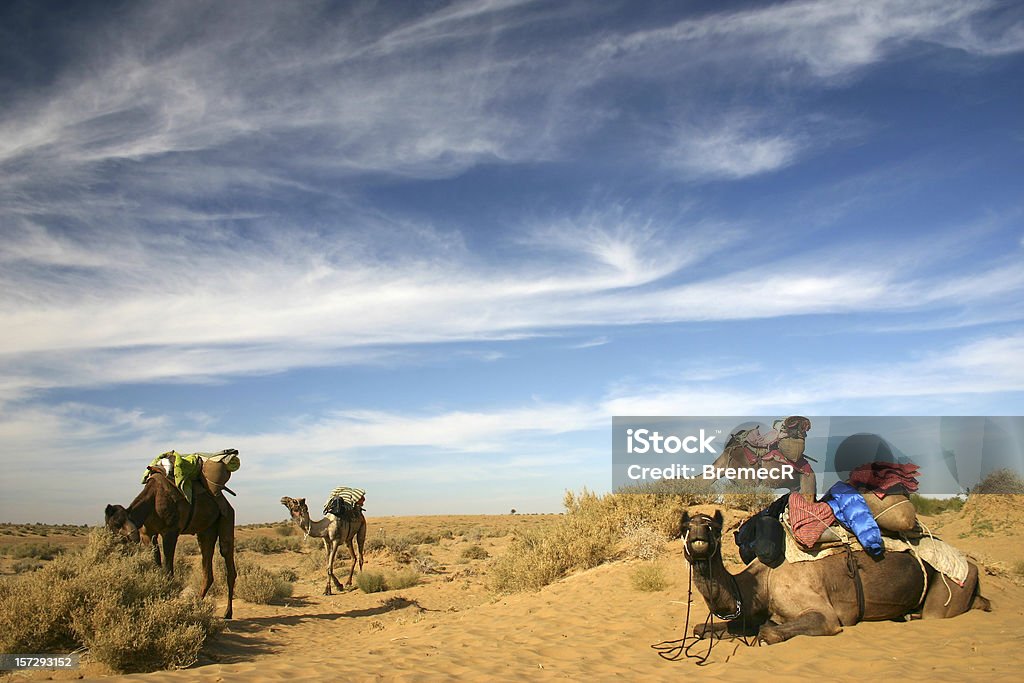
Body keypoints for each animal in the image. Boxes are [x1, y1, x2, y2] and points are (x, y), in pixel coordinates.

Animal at [105, 471, 237, 618]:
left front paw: (168, 598)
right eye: (108, 524)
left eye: (116, 524)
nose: (108, 541)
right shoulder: (148, 534)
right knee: (207, 563)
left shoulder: (170, 532)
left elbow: (168, 569)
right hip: (206, 530)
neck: (152, 501)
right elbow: (156, 564)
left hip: (226, 517)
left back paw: (227, 612)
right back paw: (196, 606)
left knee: (227, 558)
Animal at [684, 511, 987, 647]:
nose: (698, 534)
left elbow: (768, 632)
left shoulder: (824, 614)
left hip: (953, 584)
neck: (763, 582)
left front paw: (765, 631)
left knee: (939, 612)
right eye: (685, 526)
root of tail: (971, 564)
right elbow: (700, 628)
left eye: (713, 527)